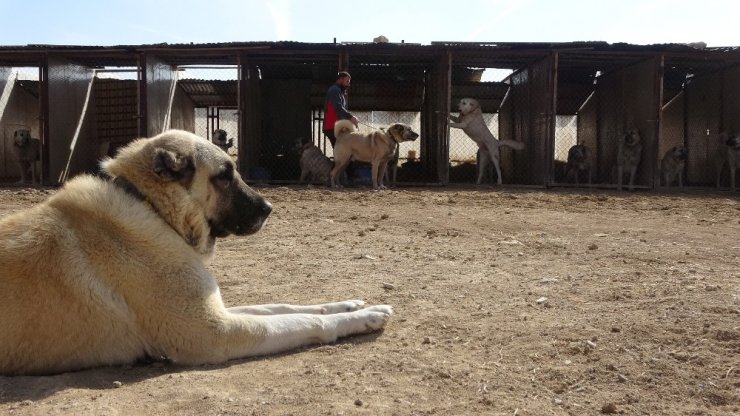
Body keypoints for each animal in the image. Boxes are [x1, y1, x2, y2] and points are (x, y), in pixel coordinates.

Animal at [0, 128, 394, 376]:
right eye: (224, 175)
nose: (269, 208)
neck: (151, 208)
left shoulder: (215, 308)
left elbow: (286, 307)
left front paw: (349, 305)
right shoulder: (213, 333)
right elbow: (304, 321)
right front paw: (363, 317)